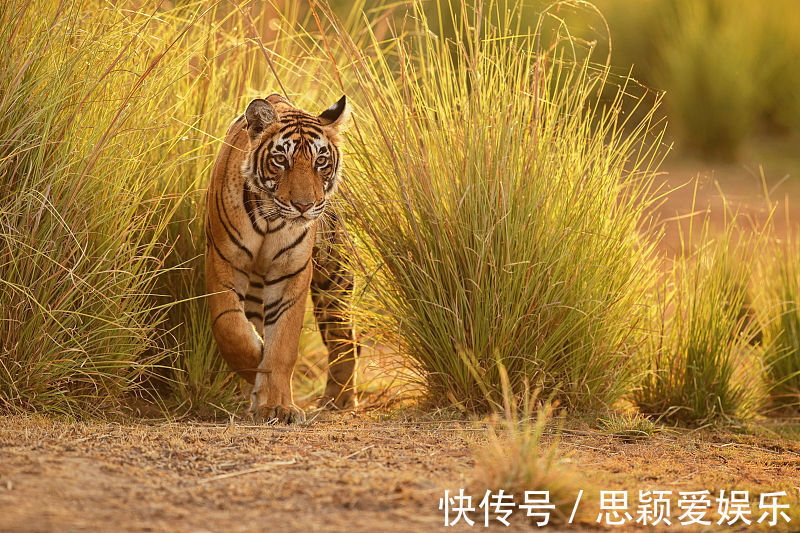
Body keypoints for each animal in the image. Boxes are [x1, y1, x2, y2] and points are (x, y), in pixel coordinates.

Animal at [206, 92, 356, 424]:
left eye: (320, 162)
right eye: (280, 160)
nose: (304, 206)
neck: (270, 220)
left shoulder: (291, 272)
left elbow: (283, 343)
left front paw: (277, 406)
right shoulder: (225, 261)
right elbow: (231, 329)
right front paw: (256, 368)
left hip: (335, 278)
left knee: (344, 338)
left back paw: (338, 400)